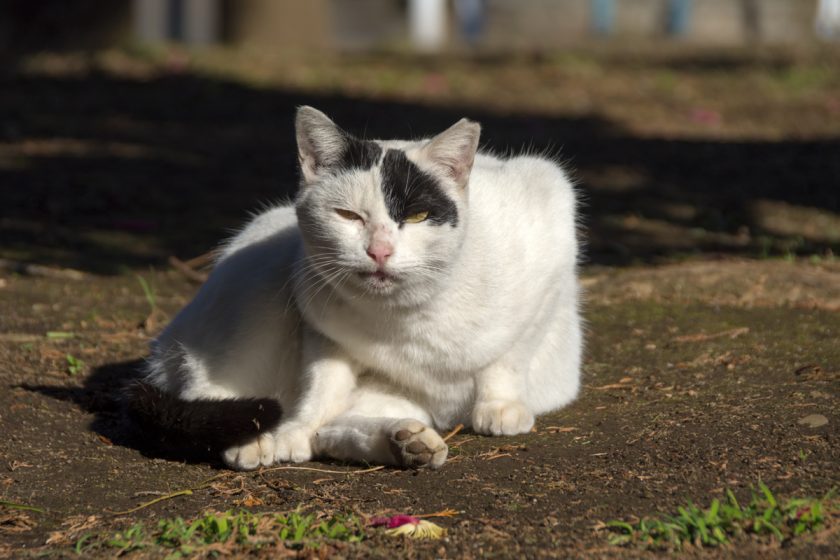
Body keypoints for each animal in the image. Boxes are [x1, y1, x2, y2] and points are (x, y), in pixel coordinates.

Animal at [128, 104, 580, 468]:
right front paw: (290, 431)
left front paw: (501, 405)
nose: (379, 250)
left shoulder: (551, 215)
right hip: (260, 289)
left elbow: (508, 355)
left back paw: (408, 441)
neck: (412, 316)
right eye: (348, 216)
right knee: (214, 392)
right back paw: (254, 440)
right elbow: (319, 389)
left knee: (334, 432)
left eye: (417, 216)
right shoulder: (322, 332)